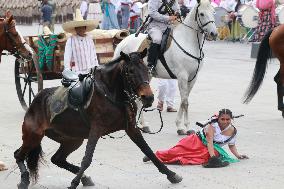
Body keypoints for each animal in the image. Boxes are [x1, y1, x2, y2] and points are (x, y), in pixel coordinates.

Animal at [13, 49, 182, 189]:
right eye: (131, 71)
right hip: (33, 136)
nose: (148, 97)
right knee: (18, 154)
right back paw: (24, 179)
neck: (112, 92)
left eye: (147, 69)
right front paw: (73, 183)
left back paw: (84, 177)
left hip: (72, 140)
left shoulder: (131, 128)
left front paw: (171, 174)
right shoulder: (96, 129)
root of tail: (36, 100)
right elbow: (87, 159)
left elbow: (148, 151)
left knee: (57, 159)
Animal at [113, 0, 217, 134]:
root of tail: (123, 41)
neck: (188, 41)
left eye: (213, 12)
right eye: (202, 14)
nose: (214, 33)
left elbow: (184, 100)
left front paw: (180, 125)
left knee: (138, 99)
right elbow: (185, 102)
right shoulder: (182, 77)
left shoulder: (192, 78)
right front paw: (185, 127)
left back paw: (143, 125)